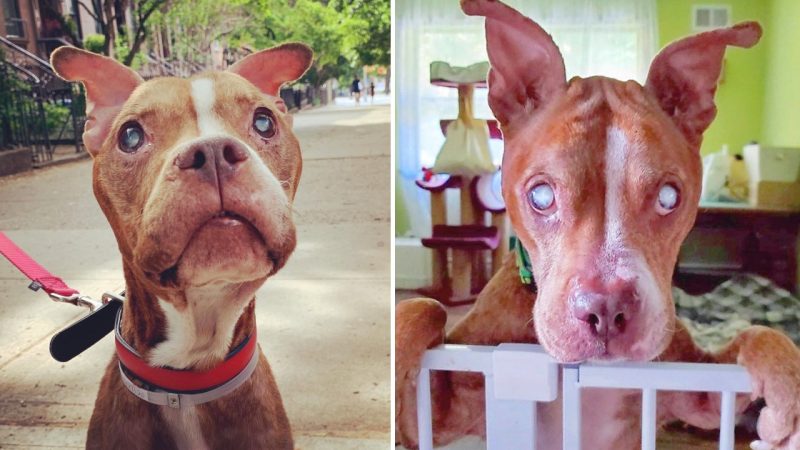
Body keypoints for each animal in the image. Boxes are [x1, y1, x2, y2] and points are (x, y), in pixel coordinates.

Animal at [396, 0, 800, 450]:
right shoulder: (438, 414)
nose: (606, 308)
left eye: (668, 197)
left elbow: (757, 334)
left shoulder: (698, 395)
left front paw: (787, 390)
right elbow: (422, 308)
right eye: (541, 196)